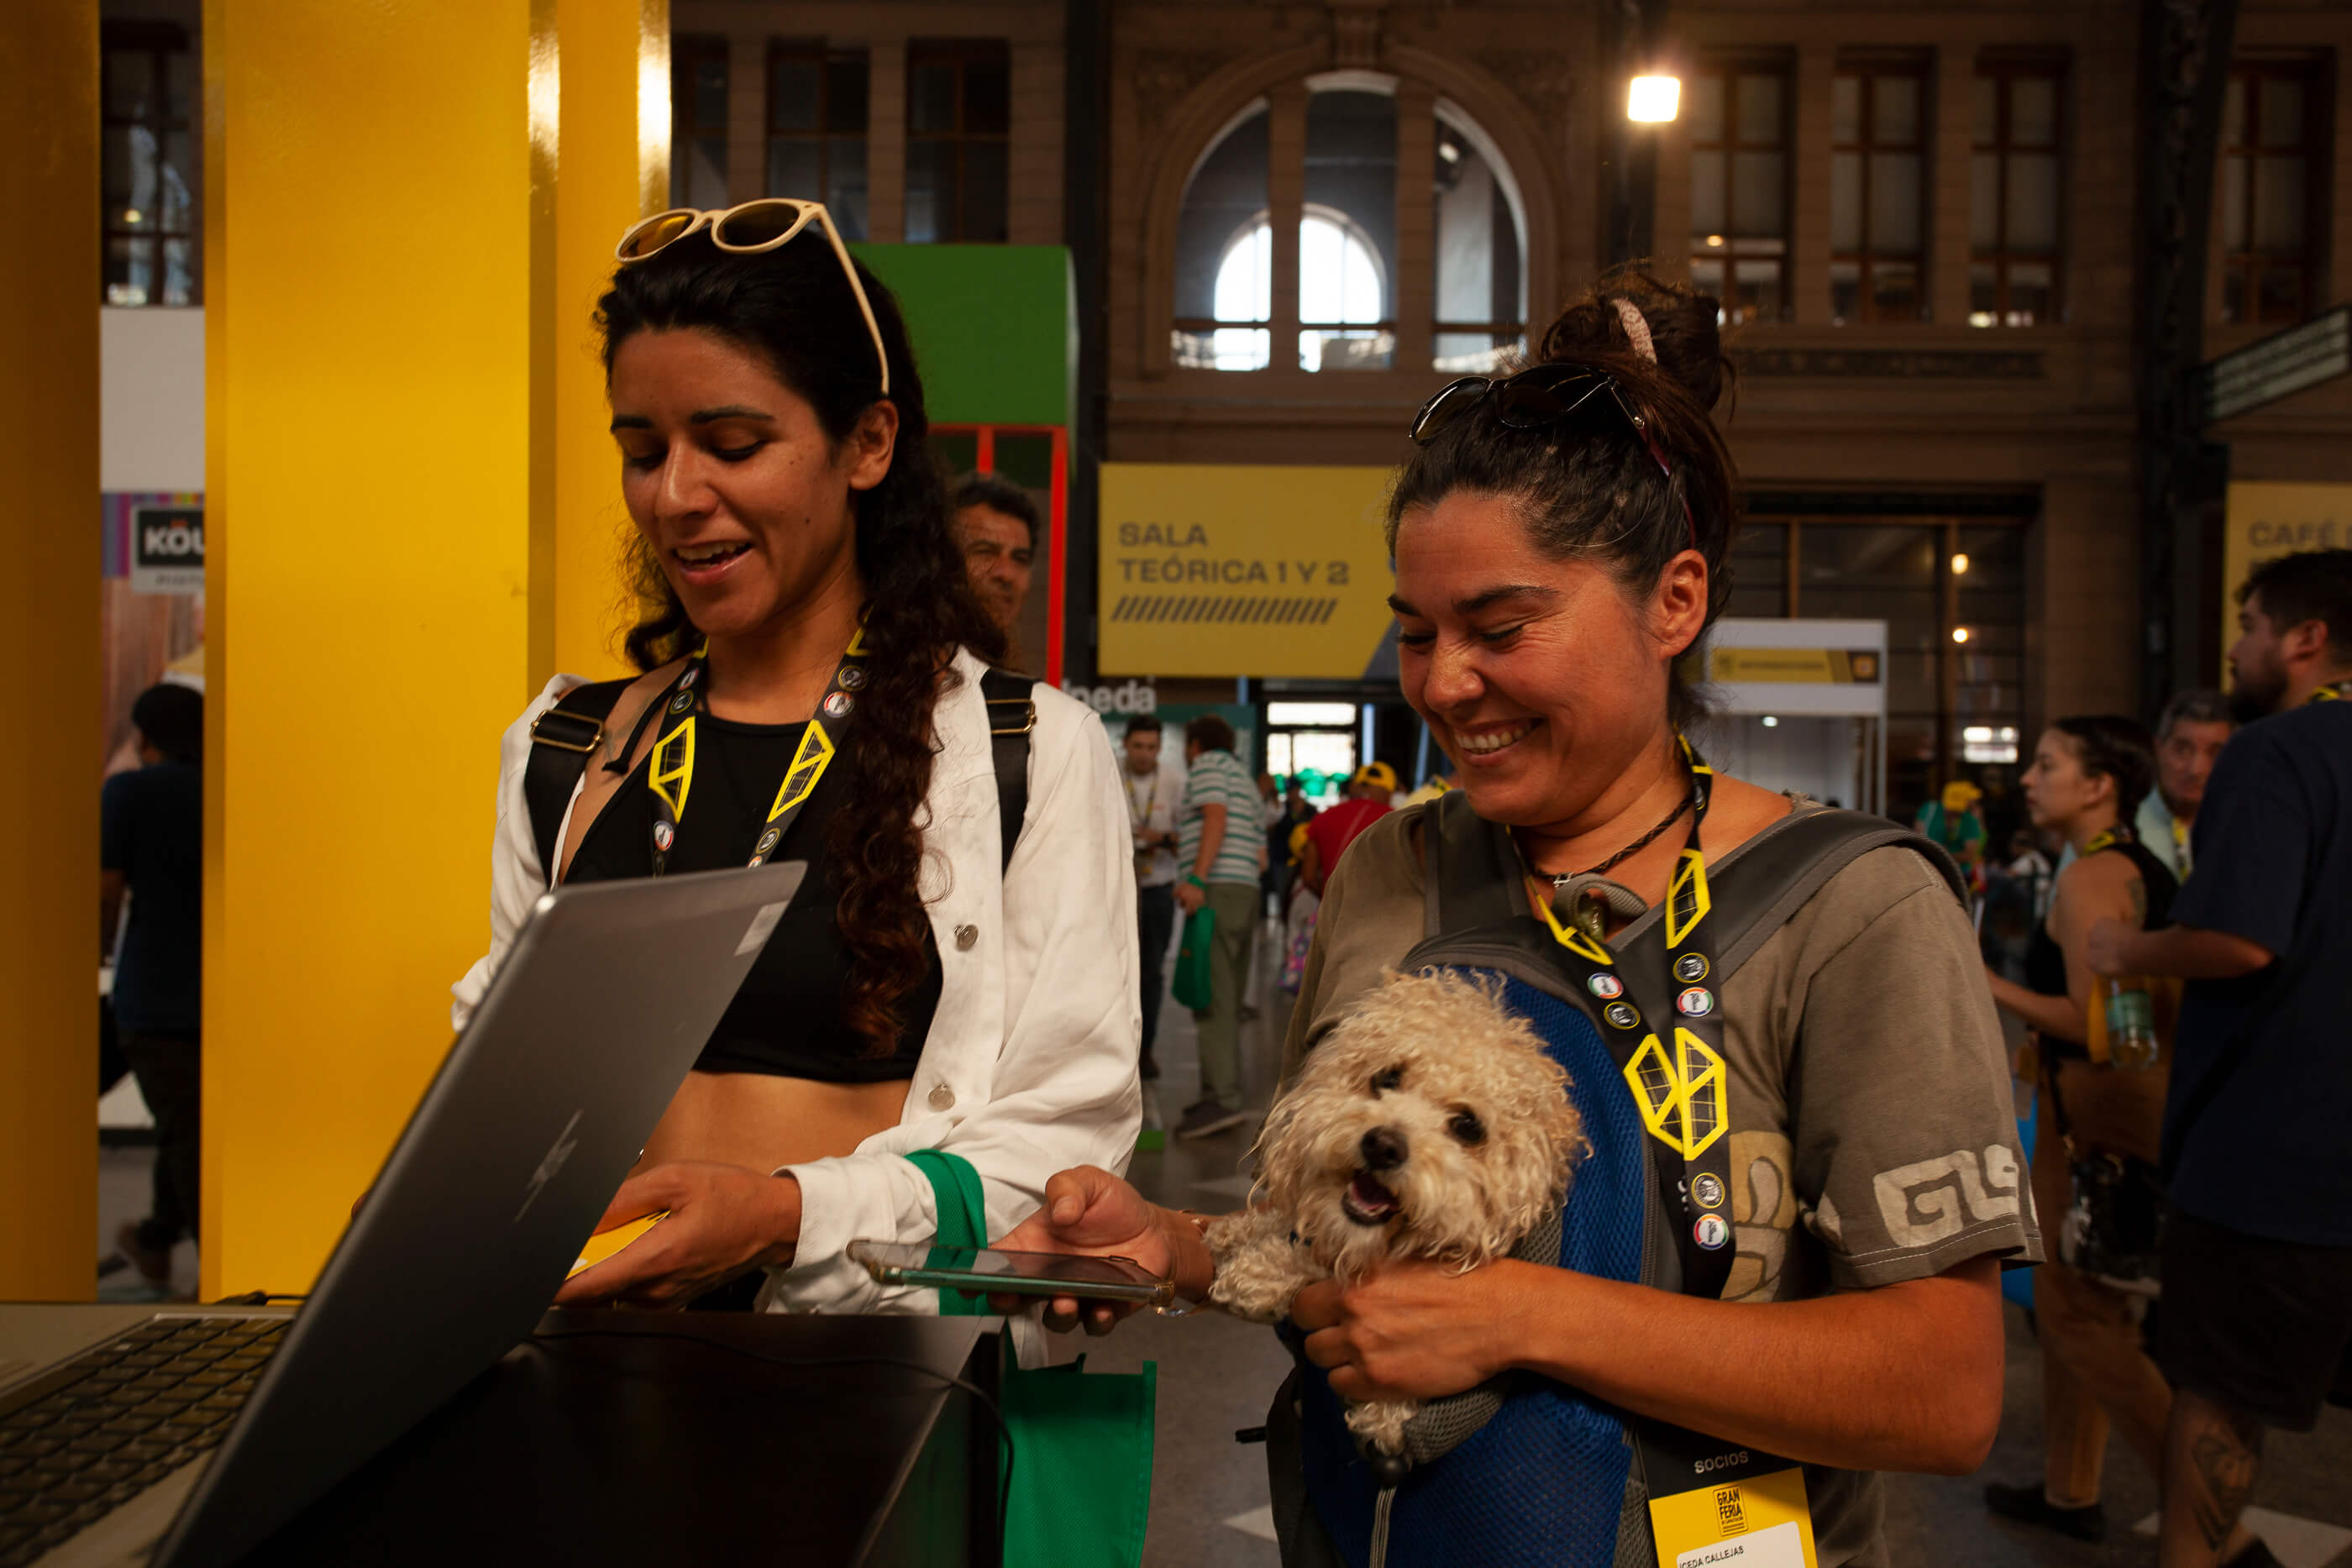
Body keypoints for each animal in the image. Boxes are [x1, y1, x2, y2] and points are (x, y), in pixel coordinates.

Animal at [1213, 968, 1580, 1457]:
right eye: (1386, 1078)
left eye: (1468, 1126)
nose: (1383, 1145)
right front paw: (1237, 1233)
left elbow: (1322, 1262)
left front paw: (1260, 1272)